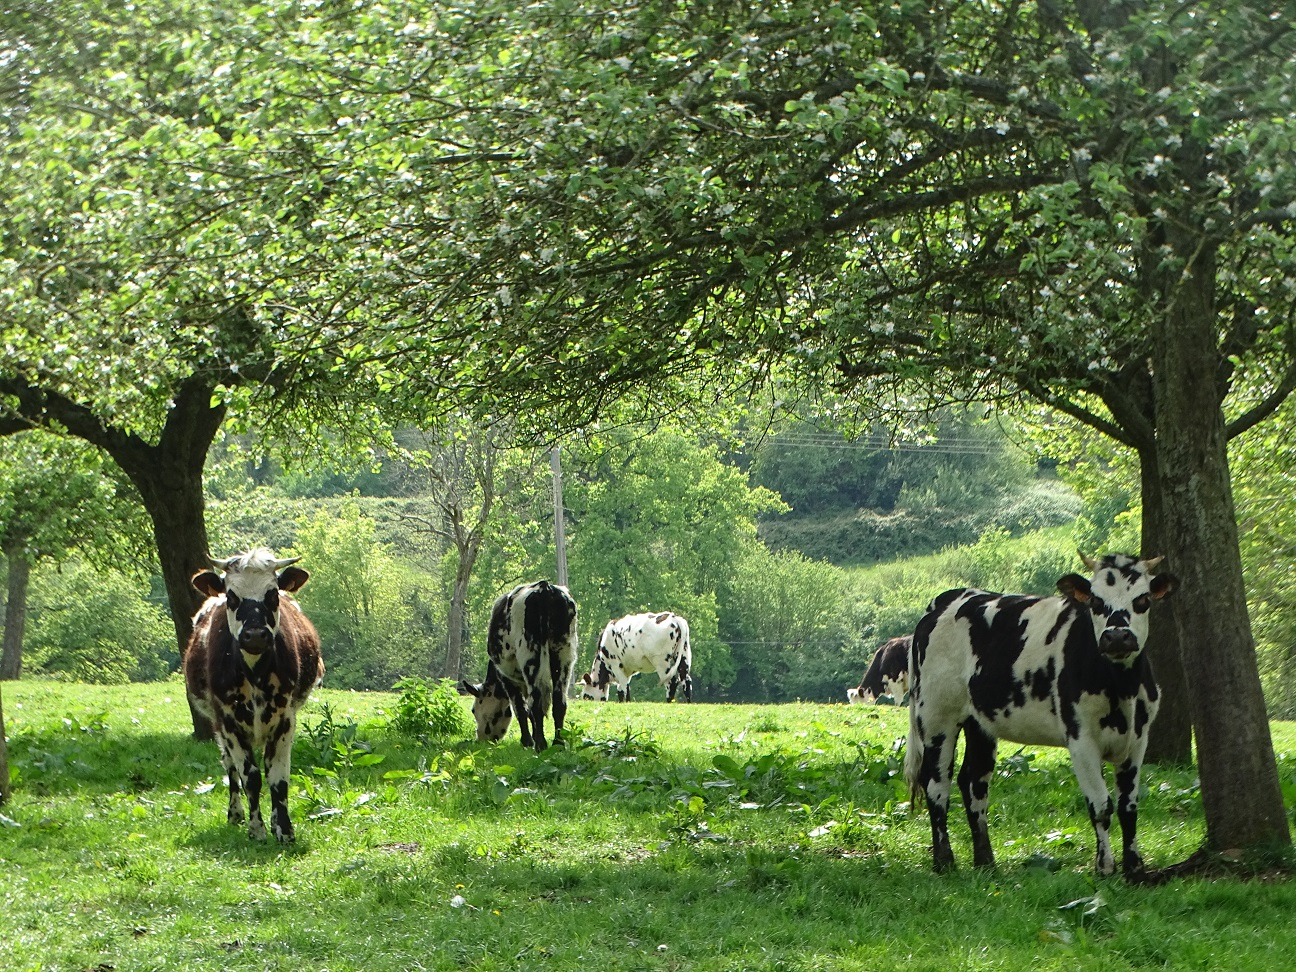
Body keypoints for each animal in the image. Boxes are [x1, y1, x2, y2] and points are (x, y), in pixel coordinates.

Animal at [182, 549, 324, 844]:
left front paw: (283, 829)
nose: (255, 635)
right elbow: (251, 777)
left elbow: (277, 777)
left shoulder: (285, 719)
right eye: (231, 595)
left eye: (273, 593)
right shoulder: (228, 723)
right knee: (230, 767)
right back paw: (235, 813)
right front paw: (256, 829)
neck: (255, 673)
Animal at [458, 578, 575, 751]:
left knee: (536, 702)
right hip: (563, 655)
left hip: (529, 655)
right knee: (559, 702)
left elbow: (520, 708)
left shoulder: (506, 676)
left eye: (473, 710)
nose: (481, 738)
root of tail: (544, 587)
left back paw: (540, 745)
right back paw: (558, 743)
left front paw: (527, 741)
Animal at [907, 554, 1181, 881]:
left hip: (980, 723)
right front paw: (1104, 866)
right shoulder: (1081, 739)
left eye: (1142, 600)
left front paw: (1134, 868)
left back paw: (986, 861)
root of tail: (947, 600)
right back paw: (944, 861)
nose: (1116, 636)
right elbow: (1101, 805)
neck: (1121, 687)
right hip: (937, 715)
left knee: (974, 783)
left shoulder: (1139, 738)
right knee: (936, 783)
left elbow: (1129, 807)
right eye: (1095, 601)